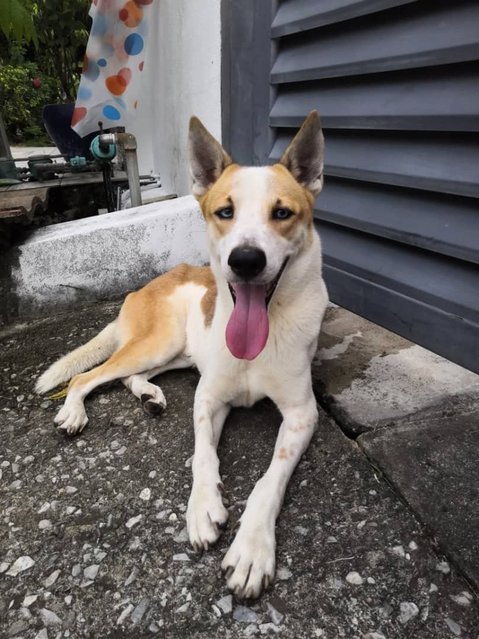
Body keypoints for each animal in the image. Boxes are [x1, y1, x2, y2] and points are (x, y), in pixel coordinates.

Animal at [36, 114, 330, 600]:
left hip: (177, 353)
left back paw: (149, 396)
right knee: (87, 377)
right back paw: (75, 412)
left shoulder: (302, 414)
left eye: (282, 213)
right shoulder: (208, 398)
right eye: (225, 211)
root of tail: (152, 282)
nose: (245, 261)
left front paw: (251, 547)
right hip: (159, 342)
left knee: (127, 377)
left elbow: (269, 479)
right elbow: (202, 454)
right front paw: (202, 507)